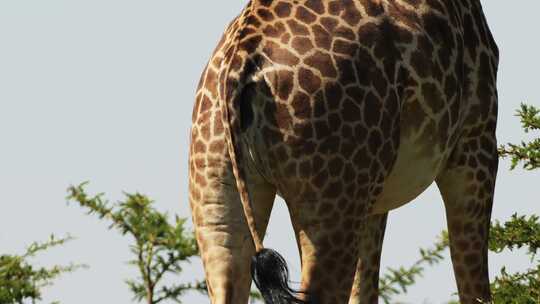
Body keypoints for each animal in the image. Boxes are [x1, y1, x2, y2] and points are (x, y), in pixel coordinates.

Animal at [189, 1, 498, 302]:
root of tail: (240, 61)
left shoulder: (374, 195)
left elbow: (363, 289)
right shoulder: (476, 143)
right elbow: (474, 285)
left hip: (215, 195)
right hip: (336, 202)